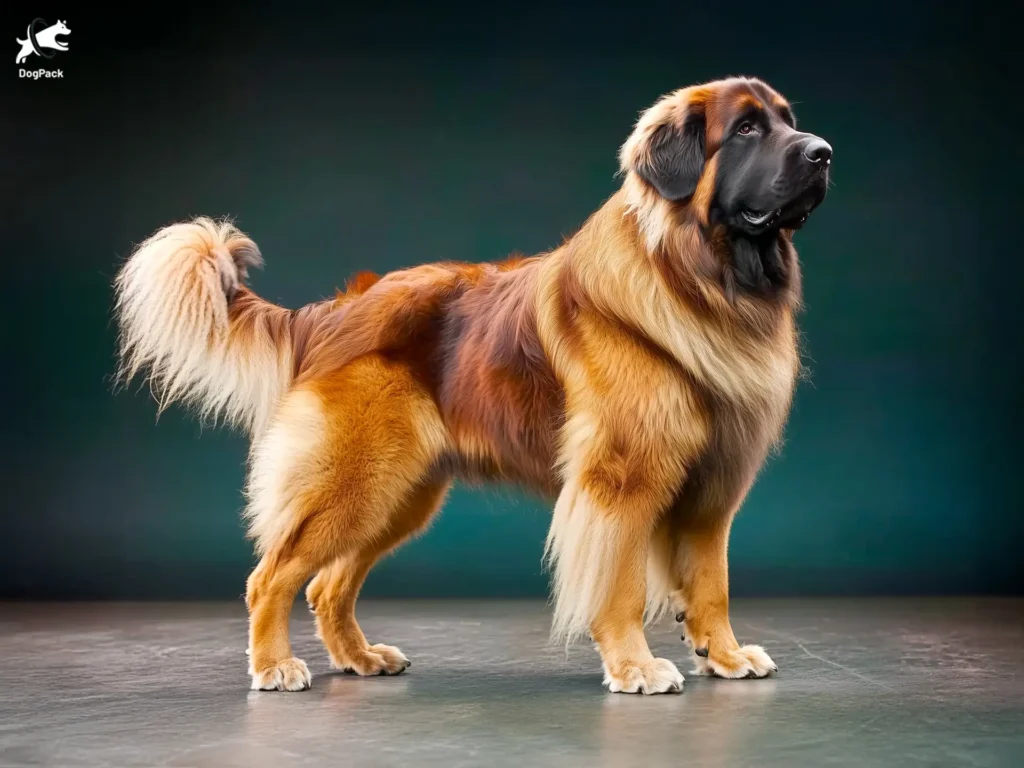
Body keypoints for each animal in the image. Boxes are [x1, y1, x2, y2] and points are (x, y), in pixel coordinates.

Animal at [112, 75, 831, 696]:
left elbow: (712, 583)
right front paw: (636, 666)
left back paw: (359, 658)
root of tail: (336, 308)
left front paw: (724, 654)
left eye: (787, 121)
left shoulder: (713, 489)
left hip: (401, 492)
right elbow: (619, 586)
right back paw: (275, 666)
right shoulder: (621, 482)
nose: (823, 153)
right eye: (745, 129)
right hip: (354, 479)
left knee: (326, 585)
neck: (704, 280)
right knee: (271, 577)